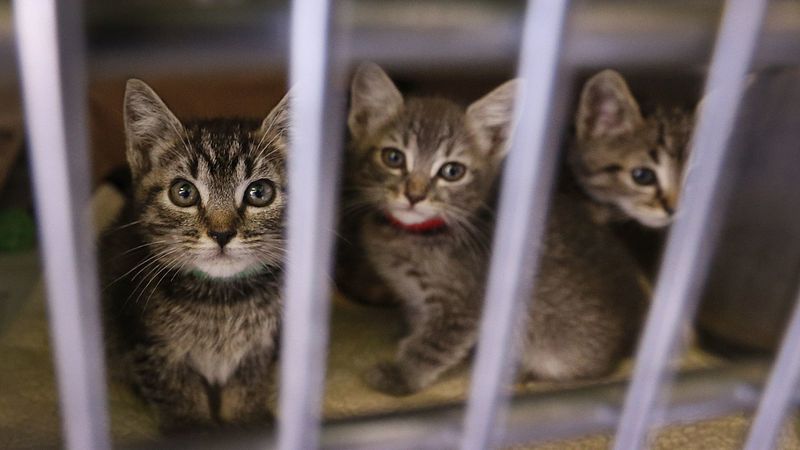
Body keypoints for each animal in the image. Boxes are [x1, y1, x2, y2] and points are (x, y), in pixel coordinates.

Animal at [99, 80, 288, 428]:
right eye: (183, 192)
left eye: (260, 192)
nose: (222, 234)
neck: (221, 302)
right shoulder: (151, 348)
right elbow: (177, 398)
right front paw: (192, 427)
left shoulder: (262, 348)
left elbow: (250, 386)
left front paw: (249, 420)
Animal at [346, 63, 648, 394]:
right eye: (393, 157)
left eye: (452, 171)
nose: (414, 195)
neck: (416, 235)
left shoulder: (464, 308)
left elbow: (433, 346)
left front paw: (402, 376)